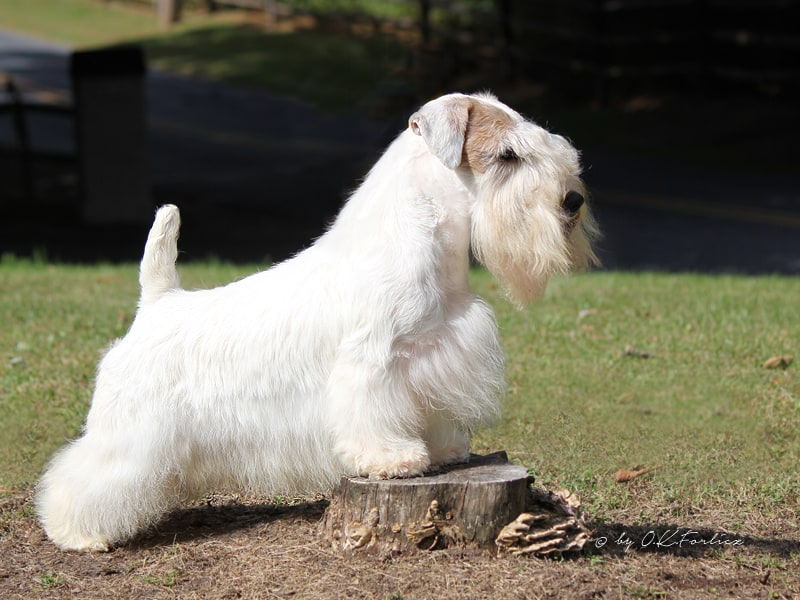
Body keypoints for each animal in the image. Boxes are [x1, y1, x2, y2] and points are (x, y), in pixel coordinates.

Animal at [37, 91, 600, 552]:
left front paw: (442, 451)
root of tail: (156, 303)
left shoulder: (432, 356)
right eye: (507, 155)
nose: (573, 199)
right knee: (83, 474)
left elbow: (430, 410)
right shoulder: (372, 362)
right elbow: (371, 415)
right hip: (127, 433)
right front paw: (391, 459)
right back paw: (77, 533)